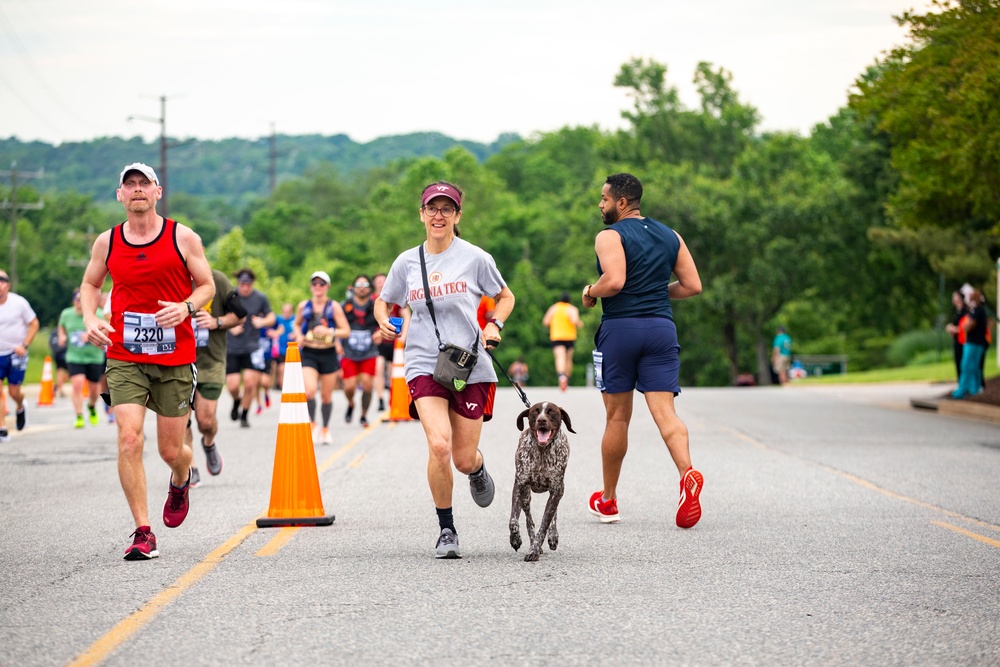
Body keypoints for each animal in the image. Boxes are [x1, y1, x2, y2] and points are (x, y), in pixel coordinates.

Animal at [512, 402, 576, 564]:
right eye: (535, 411)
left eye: (551, 411)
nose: (541, 420)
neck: (542, 452)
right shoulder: (520, 485)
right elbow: (516, 520)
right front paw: (515, 539)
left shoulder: (557, 490)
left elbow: (545, 524)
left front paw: (534, 550)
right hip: (525, 494)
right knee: (527, 519)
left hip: (557, 491)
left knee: (553, 515)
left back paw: (552, 536)